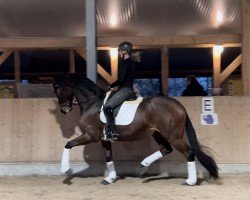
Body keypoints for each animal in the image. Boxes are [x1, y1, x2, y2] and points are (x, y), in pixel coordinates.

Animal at [53, 73, 219, 186]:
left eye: (58, 89)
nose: (64, 109)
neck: (92, 104)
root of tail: (179, 106)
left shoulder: (91, 136)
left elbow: (68, 144)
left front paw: (65, 169)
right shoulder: (104, 139)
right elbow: (109, 158)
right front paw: (110, 178)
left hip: (173, 136)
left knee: (189, 153)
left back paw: (190, 181)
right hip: (157, 133)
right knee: (166, 149)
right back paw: (143, 165)